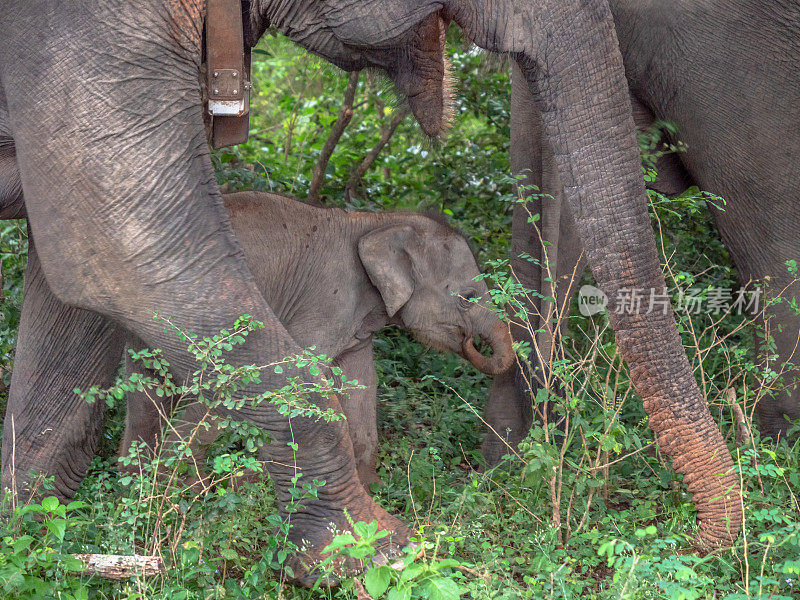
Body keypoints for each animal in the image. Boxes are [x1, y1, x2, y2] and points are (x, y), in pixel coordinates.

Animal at [123, 190, 512, 486]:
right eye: (468, 297)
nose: (471, 342)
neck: (377, 221)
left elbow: (362, 383)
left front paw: (368, 494)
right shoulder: (326, 301)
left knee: (144, 387)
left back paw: (136, 485)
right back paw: (185, 492)